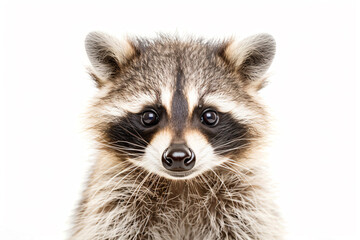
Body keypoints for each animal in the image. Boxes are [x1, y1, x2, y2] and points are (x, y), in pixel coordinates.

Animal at [70, 31, 282, 240]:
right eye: (149, 116)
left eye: (209, 116)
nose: (178, 156)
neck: (182, 184)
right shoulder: (114, 203)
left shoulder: (246, 204)